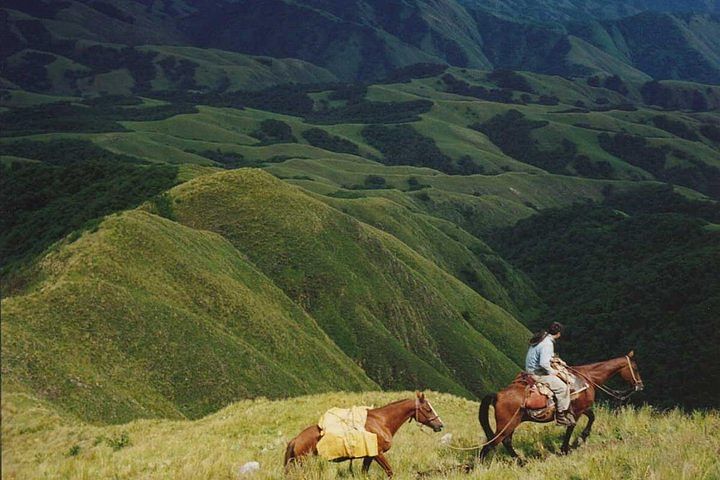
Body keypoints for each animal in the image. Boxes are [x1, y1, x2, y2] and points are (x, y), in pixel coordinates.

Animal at [286, 394, 444, 476]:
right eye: (428, 409)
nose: (440, 425)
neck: (381, 422)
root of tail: (296, 439)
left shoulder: (369, 456)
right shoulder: (378, 454)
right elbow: (390, 472)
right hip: (303, 463)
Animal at [478, 350, 640, 460]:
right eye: (635, 368)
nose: (640, 385)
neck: (588, 378)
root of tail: (498, 395)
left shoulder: (581, 408)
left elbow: (591, 417)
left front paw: (580, 438)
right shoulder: (577, 411)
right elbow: (572, 427)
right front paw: (567, 448)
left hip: (511, 424)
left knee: (506, 441)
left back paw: (521, 461)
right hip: (507, 424)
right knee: (491, 444)